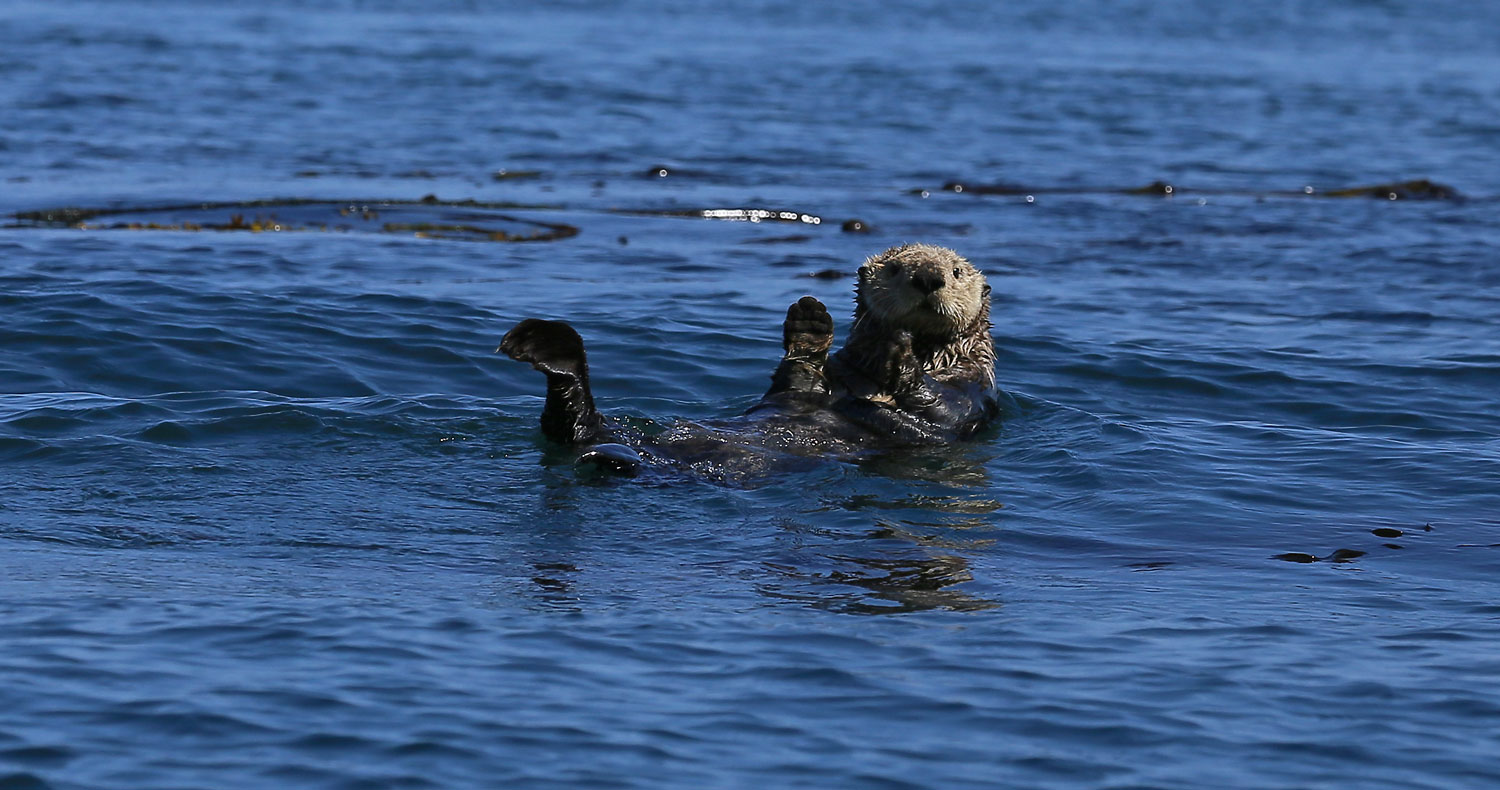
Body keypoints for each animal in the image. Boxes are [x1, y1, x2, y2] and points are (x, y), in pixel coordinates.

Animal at [500, 244, 1002, 479]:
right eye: (897, 268)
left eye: (956, 271)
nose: (929, 278)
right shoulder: (826, 377)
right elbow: (798, 378)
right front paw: (810, 322)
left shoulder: (974, 392)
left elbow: (942, 405)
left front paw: (900, 353)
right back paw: (540, 343)